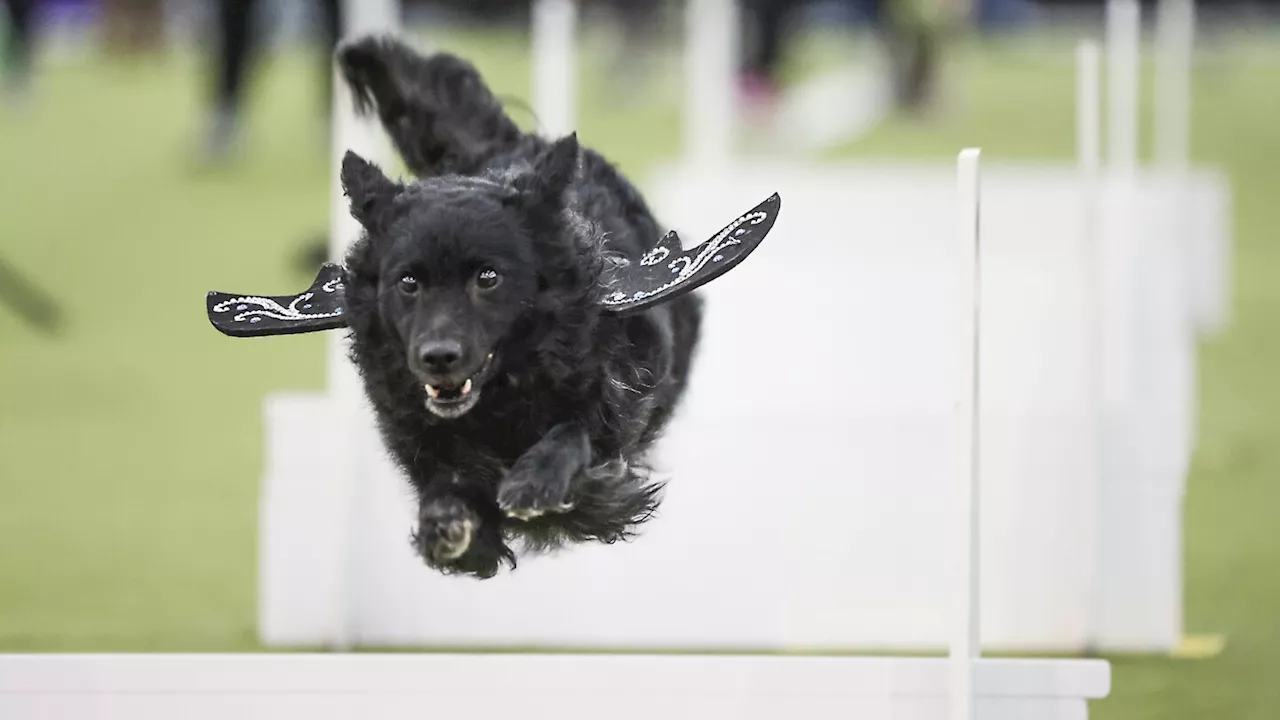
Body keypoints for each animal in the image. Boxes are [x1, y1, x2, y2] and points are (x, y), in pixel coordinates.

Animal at [332, 37, 701, 576]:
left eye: (488, 278)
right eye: (408, 282)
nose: (437, 357)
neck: (500, 394)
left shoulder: (613, 398)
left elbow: (577, 434)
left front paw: (536, 481)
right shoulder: (416, 430)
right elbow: (445, 483)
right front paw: (445, 519)